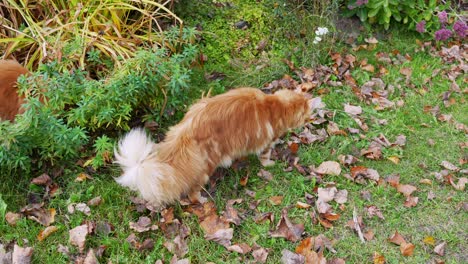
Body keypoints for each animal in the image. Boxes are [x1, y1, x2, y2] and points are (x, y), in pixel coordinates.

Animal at [114, 87, 312, 207]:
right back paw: (202, 200)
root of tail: (187, 131)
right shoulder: (268, 140)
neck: (273, 104)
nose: (311, 118)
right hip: (207, 166)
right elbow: (265, 155)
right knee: (193, 192)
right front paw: (269, 163)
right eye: (307, 114)